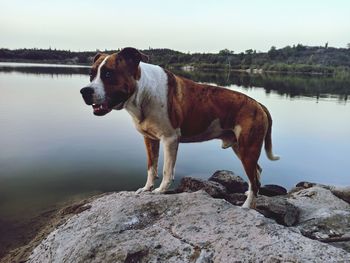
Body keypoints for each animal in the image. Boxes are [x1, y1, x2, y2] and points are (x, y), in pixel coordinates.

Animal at [79, 47, 278, 208]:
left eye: (108, 74)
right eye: (91, 75)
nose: (84, 91)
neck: (142, 93)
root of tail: (258, 104)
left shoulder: (170, 139)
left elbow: (167, 169)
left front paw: (160, 191)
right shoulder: (150, 139)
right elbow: (151, 167)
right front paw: (146, 188)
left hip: (247, 149)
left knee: (254, 179)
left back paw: (247, 206)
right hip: (240, 147)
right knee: (257, 173)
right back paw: (249, 194)